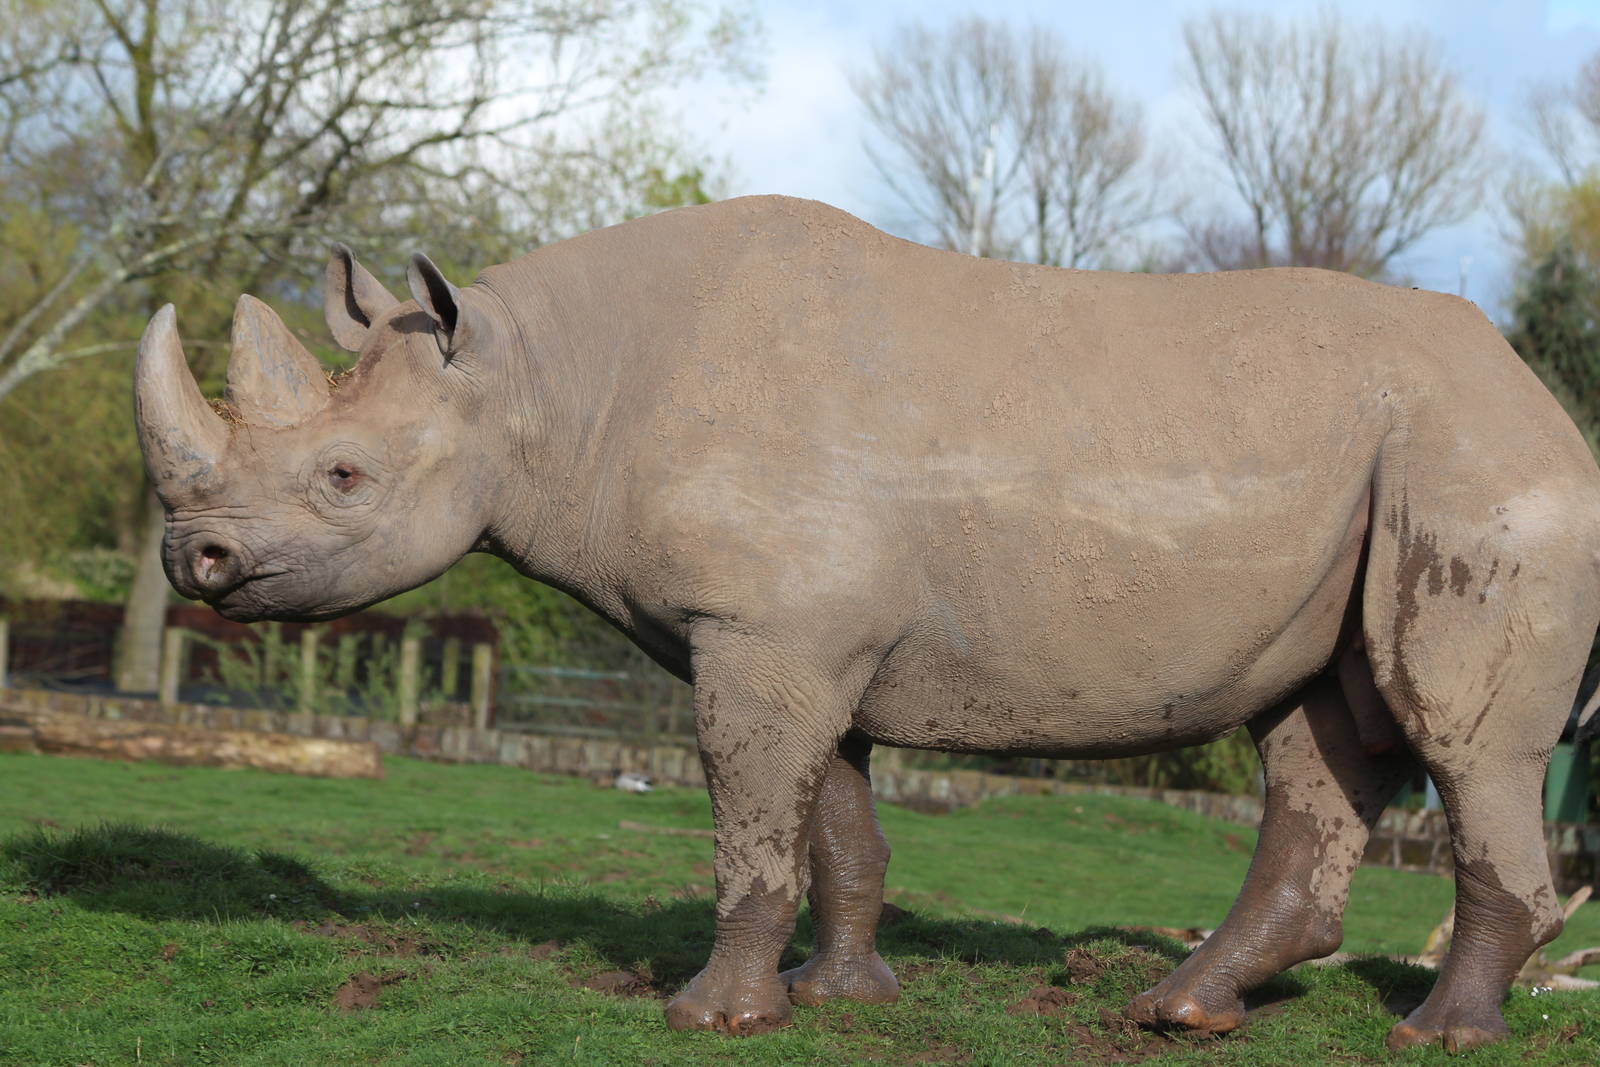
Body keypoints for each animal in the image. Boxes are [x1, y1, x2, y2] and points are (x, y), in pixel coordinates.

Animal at [134, 196, 1600, 1052]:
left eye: (343, 477)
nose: (192, 555)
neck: (544, 384)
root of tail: (1542, 393)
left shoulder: (762, 632)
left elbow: (749, 821)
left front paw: (708, 1016)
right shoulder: (794, 633)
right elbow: (831, 817)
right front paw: (837, 999)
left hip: (1483, 467)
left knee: (1461, 739)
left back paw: (1435, 1034)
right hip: (1400, 461)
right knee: (1322, 725)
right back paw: (1185, 1007)